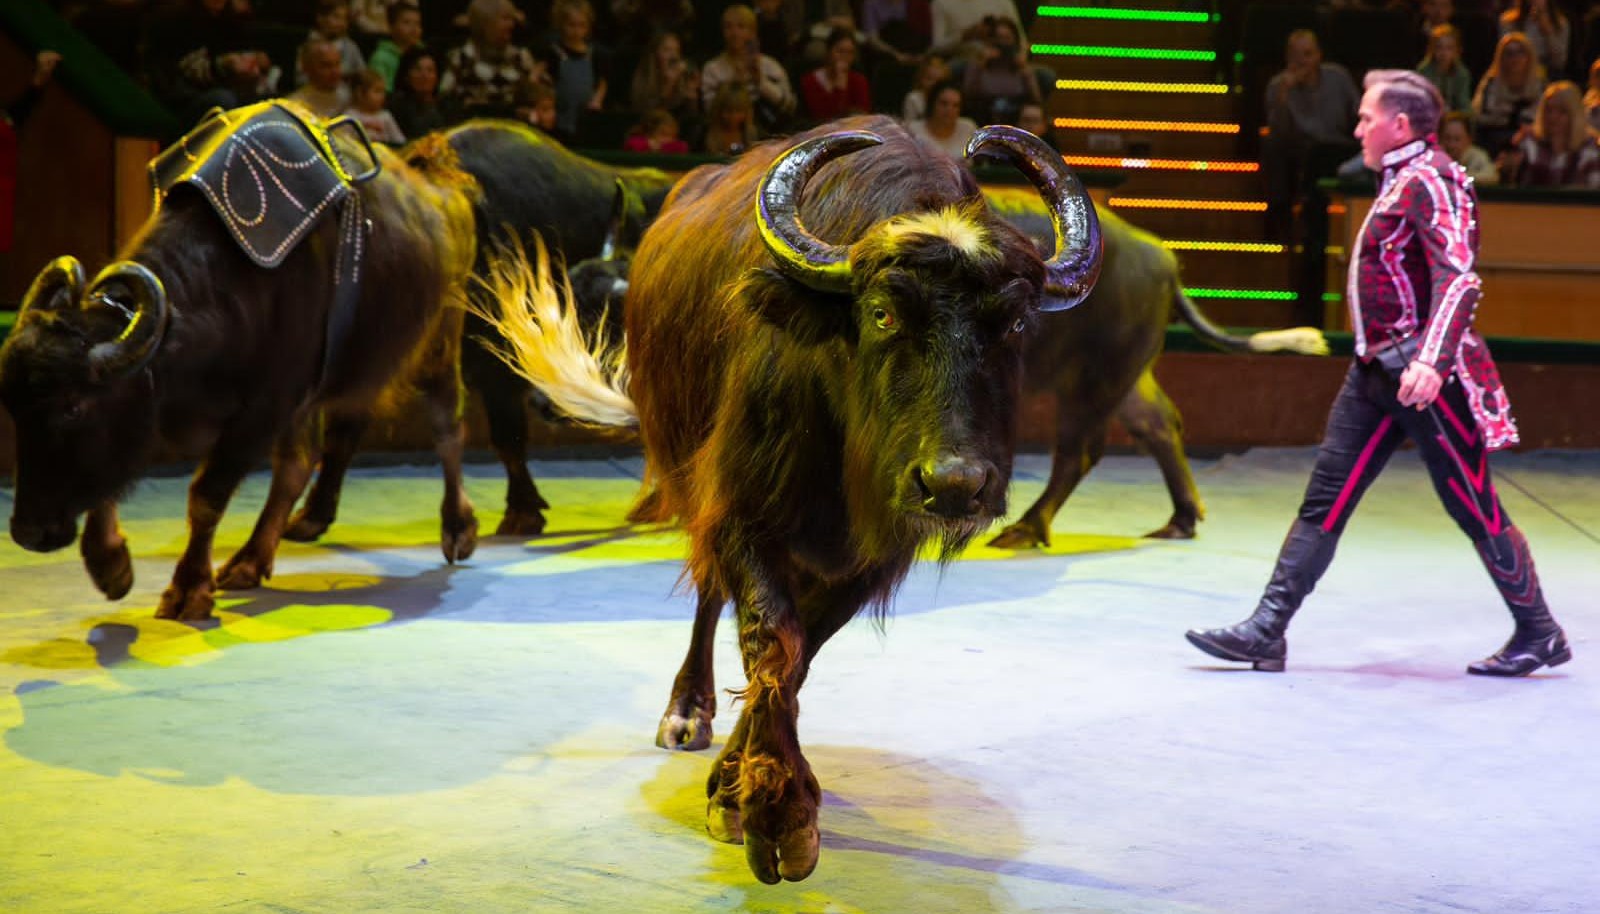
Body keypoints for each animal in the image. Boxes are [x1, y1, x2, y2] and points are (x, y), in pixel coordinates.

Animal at [0, 105, 480, 621]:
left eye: (73, 407)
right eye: (14, 410)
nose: (28, 531)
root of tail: (443, 193)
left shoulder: (262, 410)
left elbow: (206, 496)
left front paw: (189, 587)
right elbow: (111, 472)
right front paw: (110, 564)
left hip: (435, 345)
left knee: (448, 429)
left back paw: (457, 527)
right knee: (306, 460)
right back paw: (256, 555)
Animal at [476, 112, 1100, 877]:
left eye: (1012, 323)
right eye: (883, 315)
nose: (955, 484)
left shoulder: (871, 556)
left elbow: (801, 653)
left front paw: (745, 788)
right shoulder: (741, 511)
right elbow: (771, 634)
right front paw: (770, 810)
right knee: (709, 594)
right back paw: (685, 711)